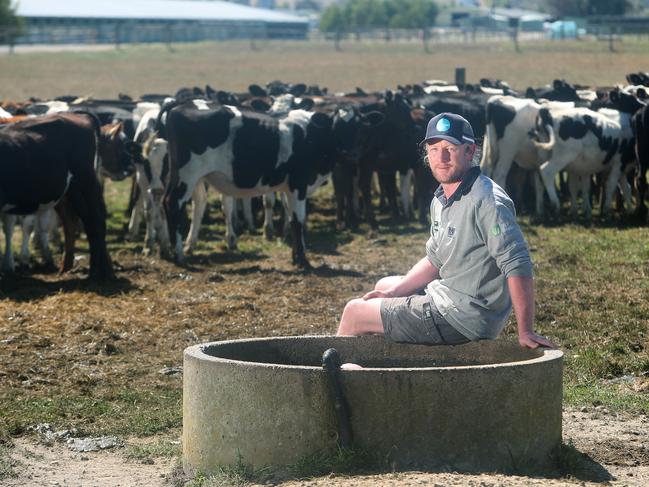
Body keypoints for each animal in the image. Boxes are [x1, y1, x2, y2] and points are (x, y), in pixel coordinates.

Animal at [161, 99, 334, 266]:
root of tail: (180, 106)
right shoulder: (298, 184)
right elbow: (298, 220)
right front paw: (303, 260)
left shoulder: (289, 187)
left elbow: (292, 218)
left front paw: (295, 257)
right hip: (187, 175)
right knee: (173, 203)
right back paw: (179, 255)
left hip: (189, 177)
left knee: (196, 202)